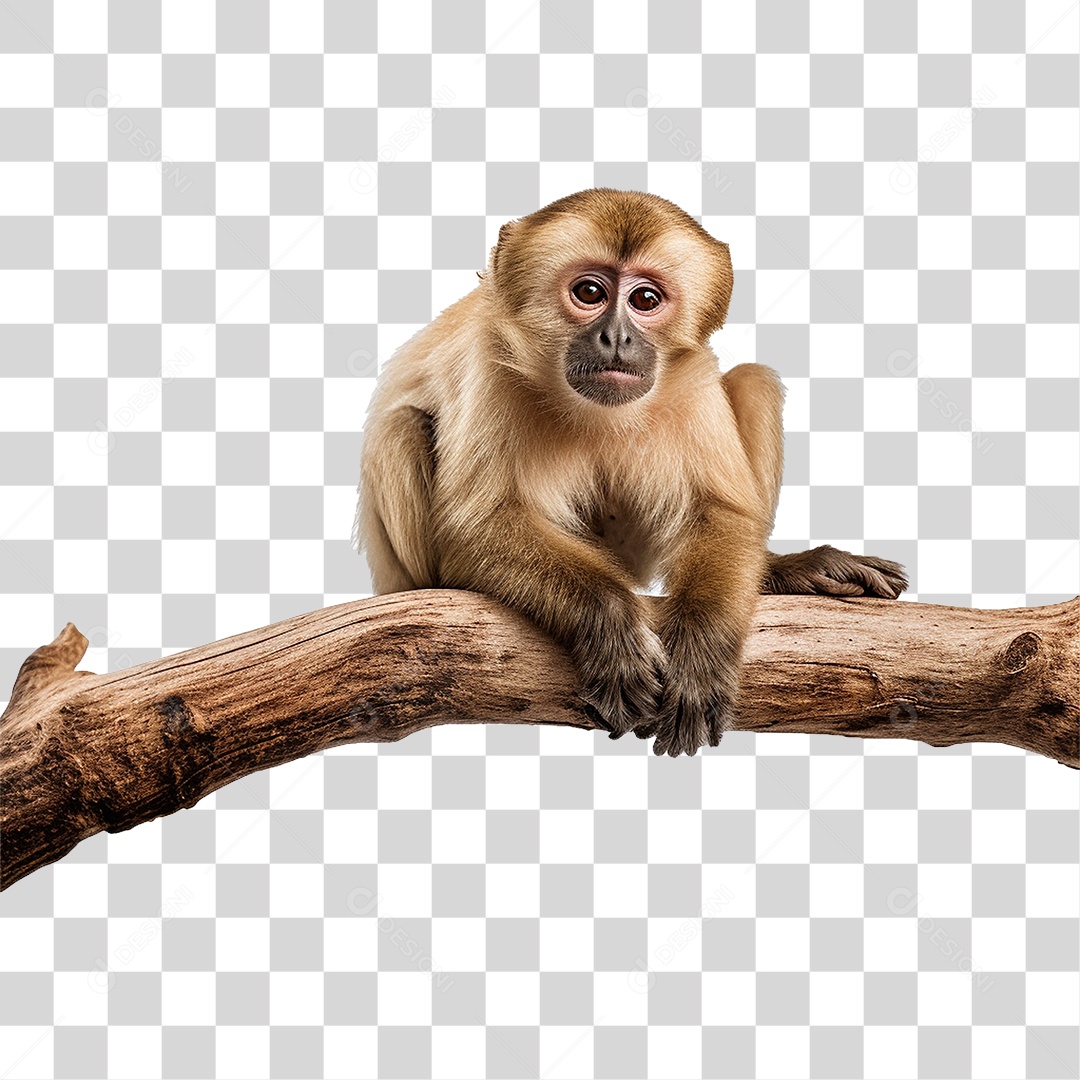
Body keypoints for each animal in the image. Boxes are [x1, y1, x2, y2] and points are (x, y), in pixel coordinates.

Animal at [355, 189, 907, 756]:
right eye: (589, 292)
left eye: (645, 300)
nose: (616, 337)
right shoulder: (492, 358)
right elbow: (475, 527)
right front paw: (612, 625)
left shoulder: (691, 372)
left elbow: (719, 513)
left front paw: (700, 650)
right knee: (402, 426)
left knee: (754, 382)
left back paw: (777, 569)